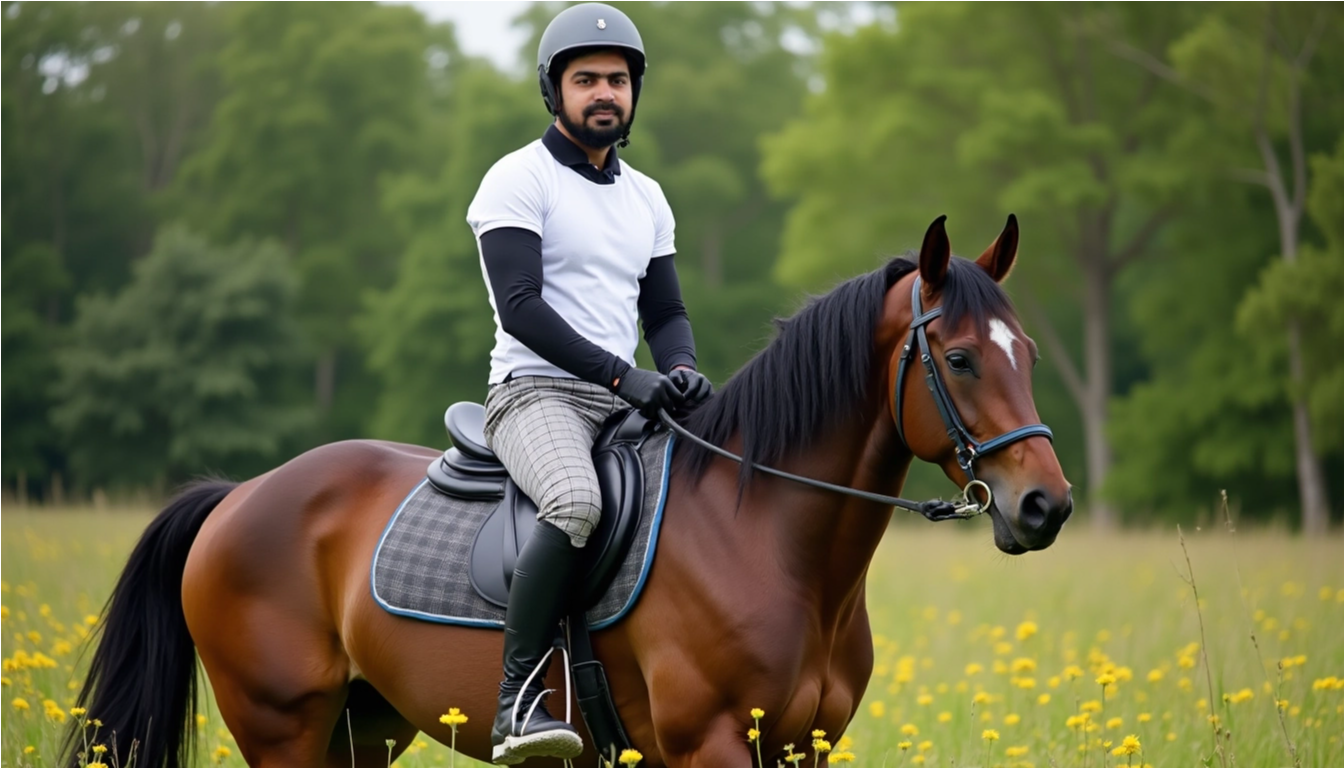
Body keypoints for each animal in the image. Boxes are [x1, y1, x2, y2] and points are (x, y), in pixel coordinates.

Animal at [63, 214, 1072, 768]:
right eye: (960, 358)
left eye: (1024, 351)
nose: (1046, 506)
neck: (765, 539)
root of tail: (241, 496)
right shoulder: (710, 744)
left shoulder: (801, 748)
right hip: (282, 729)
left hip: (366, 732)